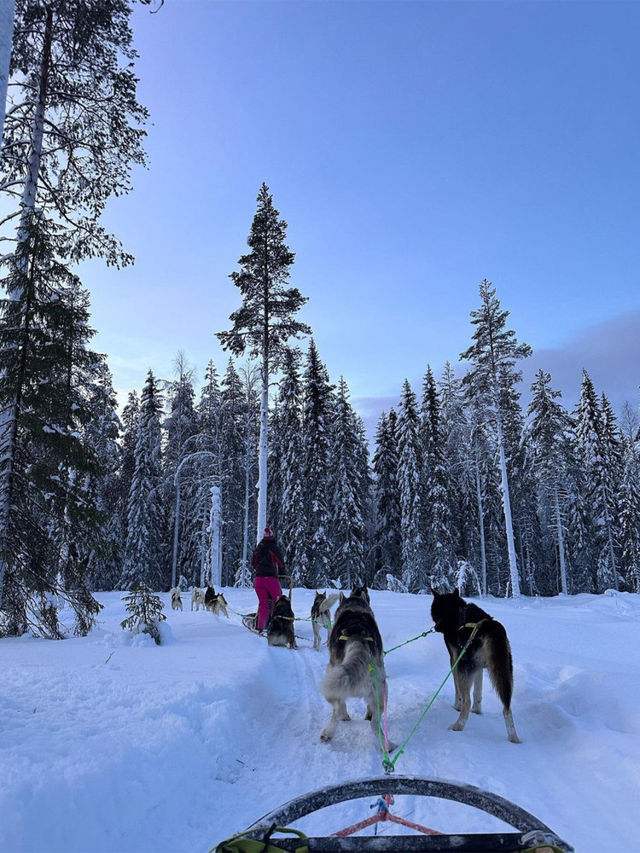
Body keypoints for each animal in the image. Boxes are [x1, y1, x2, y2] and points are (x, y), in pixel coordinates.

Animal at [318, 584, 392, 748]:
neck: (355, 605)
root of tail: (357, 636)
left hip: (332, 679)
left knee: (339, 709)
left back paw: (329, 732)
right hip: (380, 690)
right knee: (374, 722)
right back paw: (387, 746)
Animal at [430, 588, 520, 744]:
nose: (436, 627)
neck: (454, 610)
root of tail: (490, 627)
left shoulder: (455, 660)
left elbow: (458, 692)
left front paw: (456, 706)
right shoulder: (478, 668)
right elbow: (478, 692)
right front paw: (477, 711)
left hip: (464, 666)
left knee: (467, 700)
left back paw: (457, 726)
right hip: (505, 673)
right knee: (507, 707)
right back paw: (513, 737)